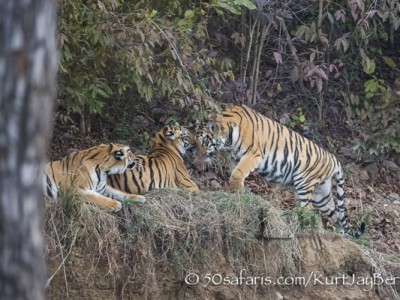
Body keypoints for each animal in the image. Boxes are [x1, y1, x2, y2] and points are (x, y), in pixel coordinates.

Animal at [209, 104, 366, 238]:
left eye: (205, 137)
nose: (202, 151)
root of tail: (334, 159)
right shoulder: (236, 157)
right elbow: (236, 171)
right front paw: (238, 191)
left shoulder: (253, 155)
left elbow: (238, 173)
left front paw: (236, 191)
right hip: (320, 195)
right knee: (336, 214)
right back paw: (340, 235)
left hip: (304, 184)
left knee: (309, 209)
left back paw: (300, 222)